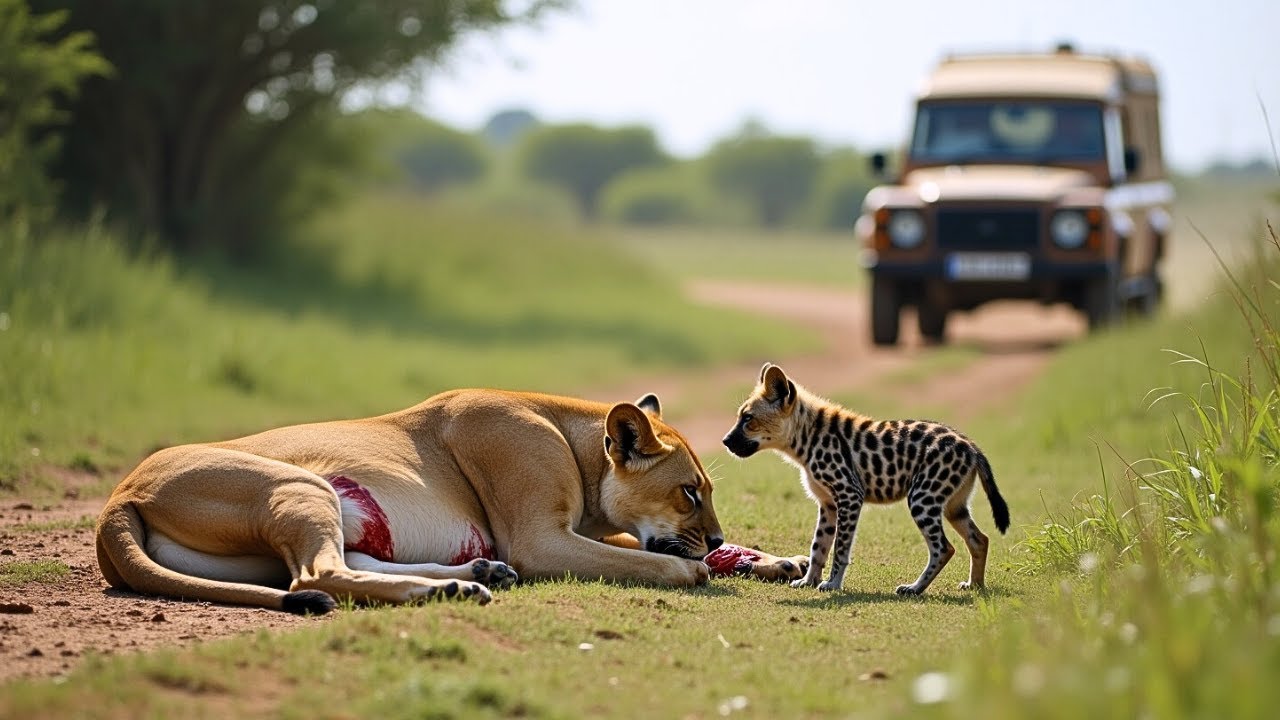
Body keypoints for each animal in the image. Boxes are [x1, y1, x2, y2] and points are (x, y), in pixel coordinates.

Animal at [96, 389, 801, 613]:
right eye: (689, 492)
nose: (714, 538)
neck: (572, 440)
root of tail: (116, 502)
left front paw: (775, 561)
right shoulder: (539, 540)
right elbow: (654, 560)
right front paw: (697, 566)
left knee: (348, 566)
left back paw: (472, 576)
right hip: (298, 486)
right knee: (319, 576)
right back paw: (447, 588)